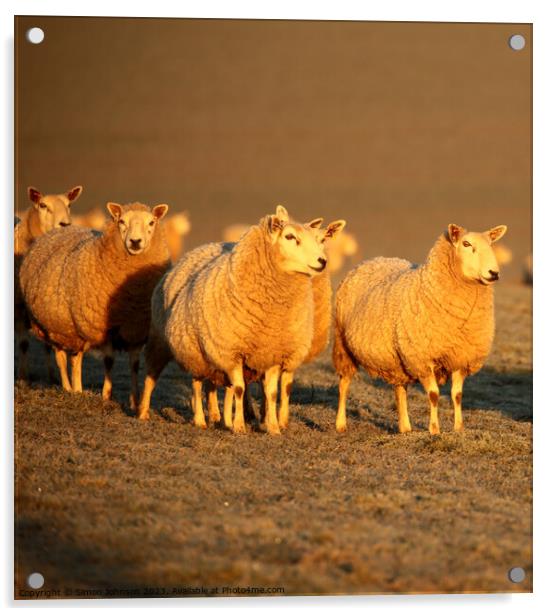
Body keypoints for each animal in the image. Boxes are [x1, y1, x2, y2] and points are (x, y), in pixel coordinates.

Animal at [14, 185, 82, 380]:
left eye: (69, 205)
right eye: (43, 205)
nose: (65, 224)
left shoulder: (43, 311)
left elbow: (48, 346)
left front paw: (52, 377)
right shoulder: (20, 307)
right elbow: (23, 344)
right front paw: (23, 377)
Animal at [19, 200, 170, 406]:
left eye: (152, 222)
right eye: (121, 221)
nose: (135, 242)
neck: (131, 296)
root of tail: (53, 232)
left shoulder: (136, 329)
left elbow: (134, 365)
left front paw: (134, 400)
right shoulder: (103, 327)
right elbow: (108, 361)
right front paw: (106, 396)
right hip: (60, 327)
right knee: (65, 359)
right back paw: (72, 389)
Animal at [138, 206, 330, 434]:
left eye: (319, 239)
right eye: (290, 237)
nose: (322, 261)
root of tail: (200, 248)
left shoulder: (273, 352)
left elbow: (271, 393)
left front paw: (273, 428)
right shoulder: (231, 351)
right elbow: (239, 389)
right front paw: (239, 426)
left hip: (205, 355)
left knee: (208, 384)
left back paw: (215, 417)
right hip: (169, 343)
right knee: (171, 380)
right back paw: (155, 414)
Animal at [334, 223, 508, 434]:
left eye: (491, 244)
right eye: (466, 244)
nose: (494, 273)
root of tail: (370, 261)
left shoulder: (460, 356)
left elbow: (457, 395)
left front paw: (459, 428)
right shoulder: (422, 358)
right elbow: (433, 394)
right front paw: (434, 429)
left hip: (397, 359)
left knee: (400, 389)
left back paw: (405, 428)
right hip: (343, 344)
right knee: (344, 383)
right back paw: (340, 423)